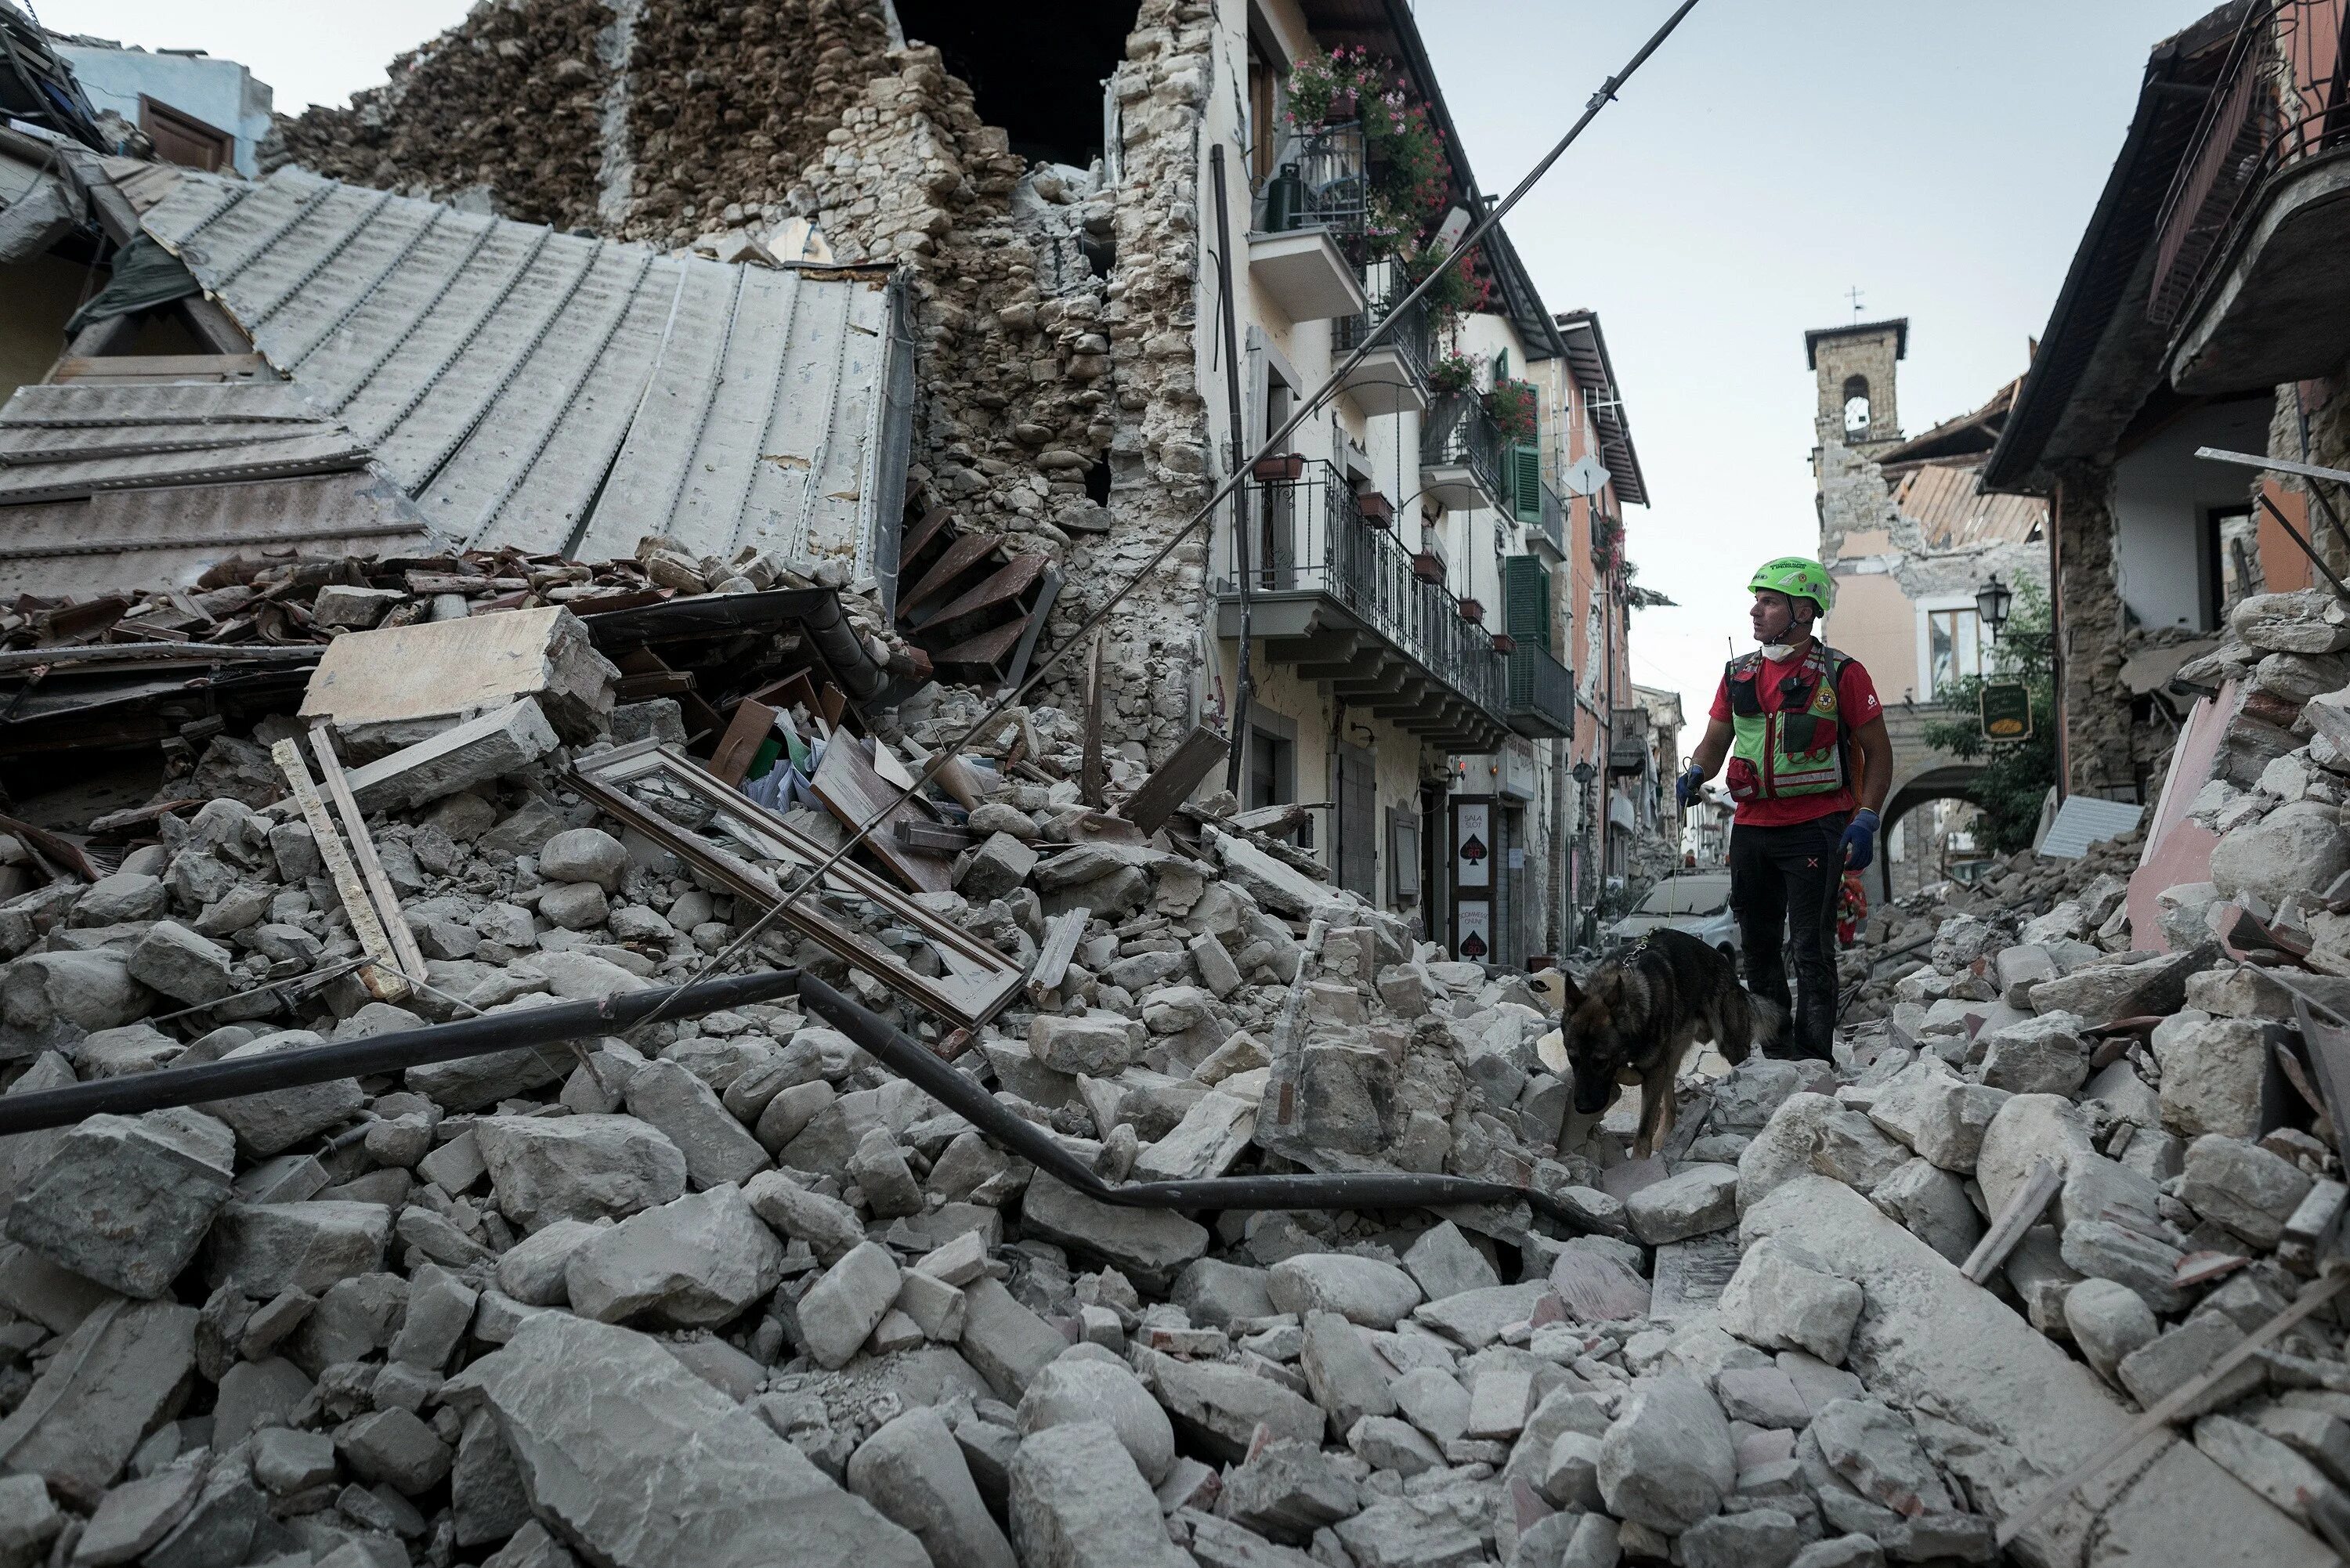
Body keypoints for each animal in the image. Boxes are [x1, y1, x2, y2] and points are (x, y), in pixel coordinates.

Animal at [1542, 930, 1777, 1151]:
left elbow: (1643, 1134)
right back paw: (1663, 1136)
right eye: (1572, 1059)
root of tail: (1730, 972)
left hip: (1731, 1046)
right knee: (1670, 1103)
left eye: (1601, 1062)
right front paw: (1631, 1074)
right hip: (1673, 1057)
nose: (1582, 1108)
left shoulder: (1654, 1069)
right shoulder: (1653, 1066)